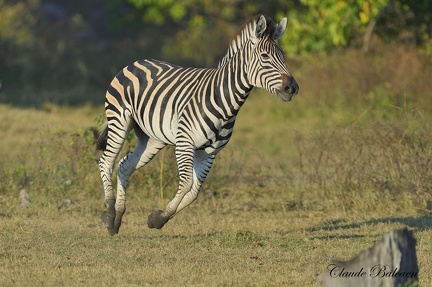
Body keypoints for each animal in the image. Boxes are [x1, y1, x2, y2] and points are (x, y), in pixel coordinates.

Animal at [95, 15, 296, 236]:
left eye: (283, 56)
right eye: (264, 56)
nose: (292, 88)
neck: (225, 102)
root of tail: (136, 62)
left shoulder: (209, 153)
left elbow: (194, 192)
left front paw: (158, 218)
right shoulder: (185, 143)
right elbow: (186, 184)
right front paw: (159, 219)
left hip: (152, 139)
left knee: (124, 166)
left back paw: (117, 219)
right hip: (119, 120)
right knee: (106, 161)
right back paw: (110, 213)